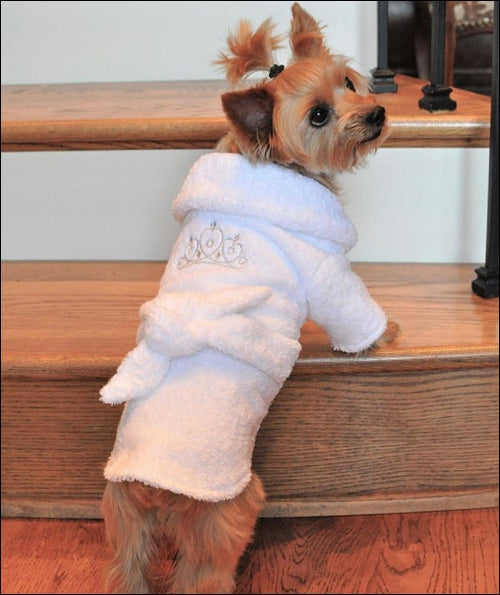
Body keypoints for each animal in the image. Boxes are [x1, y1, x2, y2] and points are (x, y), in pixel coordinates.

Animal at [100, 3, 398, 592]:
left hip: (124, 524)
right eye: (318, 116)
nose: (375, 113)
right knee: (202, 574)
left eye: (349, 83)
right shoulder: (324, 270)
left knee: (127, 569)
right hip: (229, 509)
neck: (277, 168)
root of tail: (152, 485)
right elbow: (355, 314)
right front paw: (387, 334)